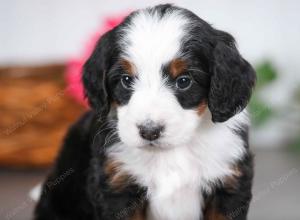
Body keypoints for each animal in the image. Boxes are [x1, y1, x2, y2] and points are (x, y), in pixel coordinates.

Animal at [34, 3, 255, 220]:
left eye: (184, 81)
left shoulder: (228, 183)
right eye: (126, 79)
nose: (150, 131)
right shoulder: (118, 186)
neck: (170, 153)